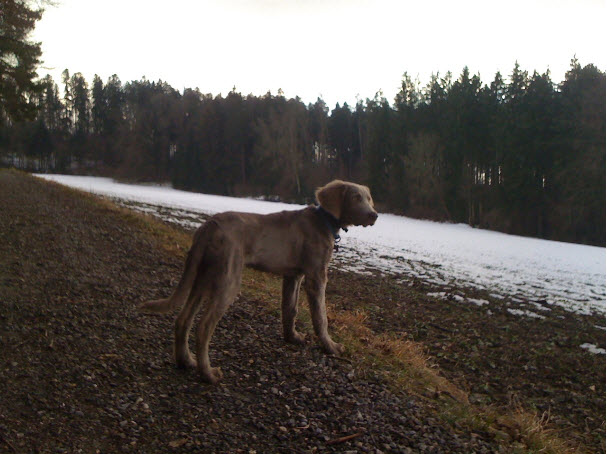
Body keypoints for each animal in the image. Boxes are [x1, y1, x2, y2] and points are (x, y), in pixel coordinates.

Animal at [139, 180, 378, 383]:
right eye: (356, 197)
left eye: (368, 197)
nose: (374, 215)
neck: (324, 221)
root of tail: (209, 226)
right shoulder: (316, 276)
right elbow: (321, 317)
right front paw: (331, 347)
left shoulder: (293, 275)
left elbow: (290, 309)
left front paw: (292, 337)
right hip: (228, 279)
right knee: (203, 327)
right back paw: (208, 374)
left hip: (203, 276)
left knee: (183, 319)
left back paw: (186, 361)